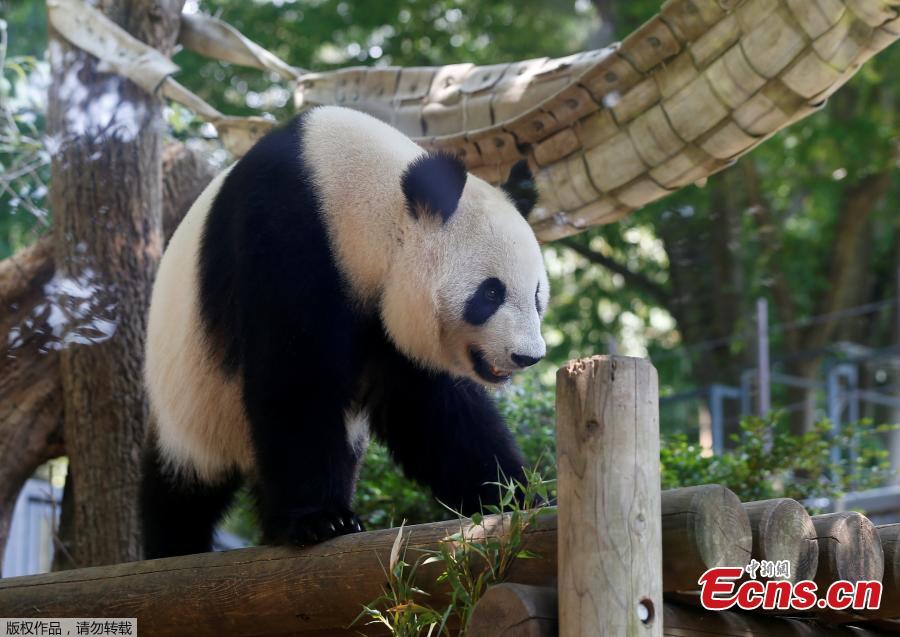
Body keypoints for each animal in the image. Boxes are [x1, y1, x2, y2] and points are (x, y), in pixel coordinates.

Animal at [140, 105, 549, 558]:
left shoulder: (388, 321)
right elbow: (296, 379)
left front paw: (519, 496)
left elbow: (434, 410)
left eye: (536, 295)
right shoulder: (286, 235)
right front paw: (322, 520)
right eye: (491, 292)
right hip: (191, 402)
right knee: (180, 492)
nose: (528, 356)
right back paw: (174, 546)